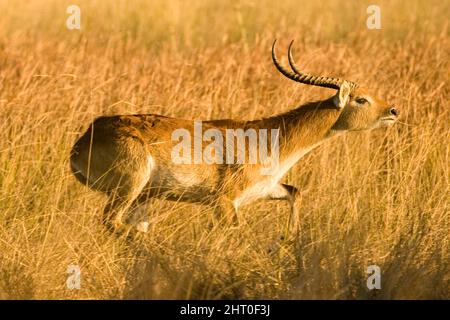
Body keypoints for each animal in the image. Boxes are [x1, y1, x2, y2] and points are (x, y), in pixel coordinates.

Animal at [70, 41, 400, 234]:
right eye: (361, 99)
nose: (393, 110)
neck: (271, 140)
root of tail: (84, 138)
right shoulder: (224, 203)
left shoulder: (266, 190)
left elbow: (295, 192)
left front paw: (288, 239)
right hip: (130, 188)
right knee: (113, 222)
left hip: (140, 196)